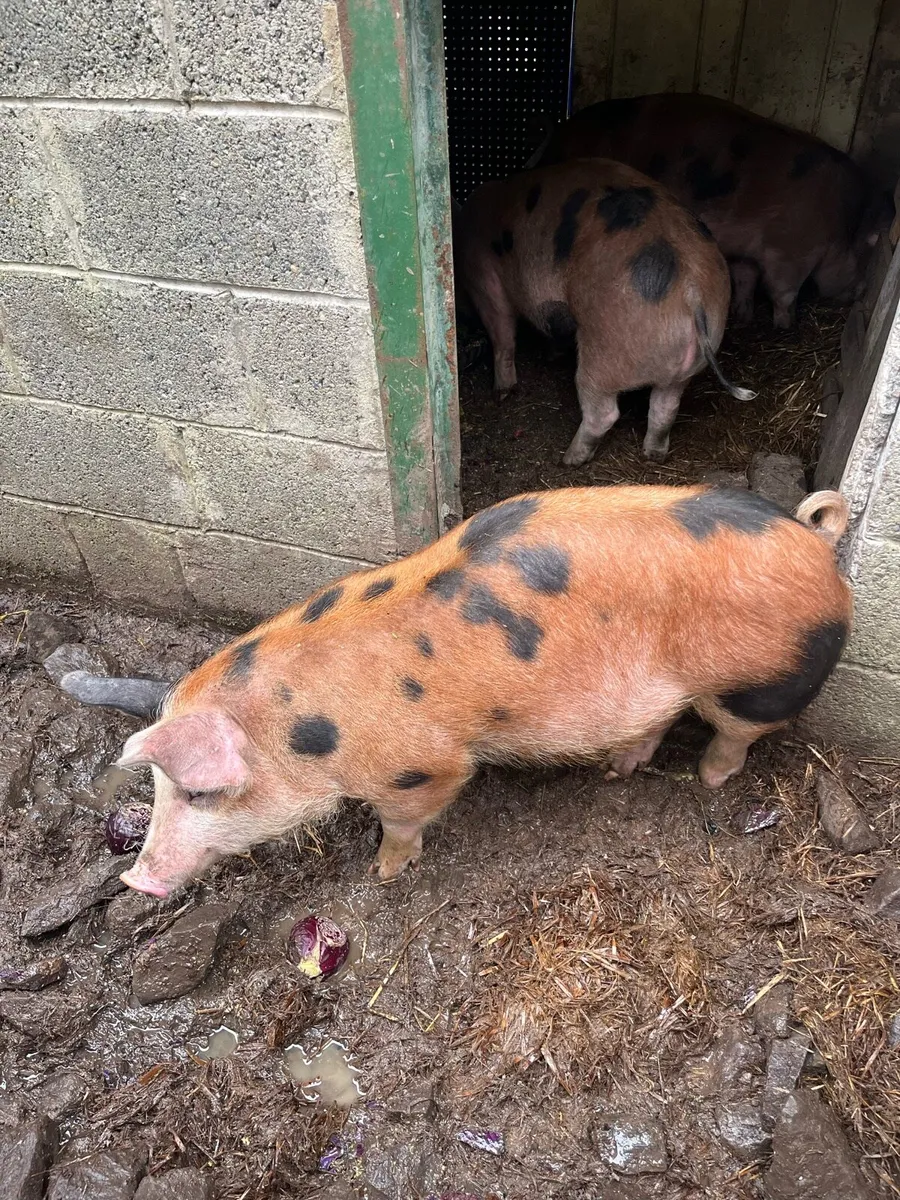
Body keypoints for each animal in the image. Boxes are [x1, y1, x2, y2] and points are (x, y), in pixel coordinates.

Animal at [61, 483, 851, 897]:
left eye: (199, 793)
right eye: (159, 791)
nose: (136, 881)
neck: (306, 729)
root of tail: (818, 543)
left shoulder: (420, 767)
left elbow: (405, 821)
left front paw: (382, 874)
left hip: (758, 681)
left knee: (736, 732)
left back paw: (710, 780)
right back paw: (619, 768)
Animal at [454, 158, 753, 466]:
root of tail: (691, 290)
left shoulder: (483, 277)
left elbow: (502, 334)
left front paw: (501, 393)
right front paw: (551, 355)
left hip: (605, 350)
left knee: (603, 411)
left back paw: (570, 459)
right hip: (684, 367)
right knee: (665, 406)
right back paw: (653, 454)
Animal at [536, 92, 893, 329]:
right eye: (866, 256)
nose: (861, 292)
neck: (841, 230)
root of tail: (558, 142)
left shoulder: (749, 250)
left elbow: (746, 278)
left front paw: (744, 316)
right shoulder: (789, 252)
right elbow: (783, 292)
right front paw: (785, 326)